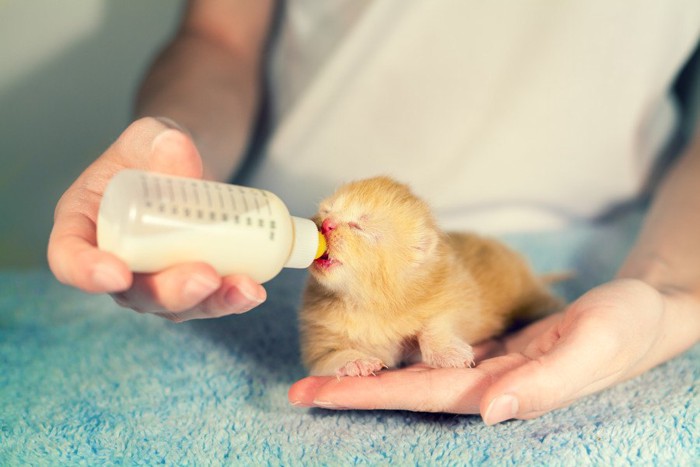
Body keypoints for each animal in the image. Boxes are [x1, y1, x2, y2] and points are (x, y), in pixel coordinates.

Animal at [298, 177, 560, 378]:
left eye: (359, 227)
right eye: (326, 211)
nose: (326, 224)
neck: (367, 301)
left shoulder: (457, 294)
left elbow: (435, 323)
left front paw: (447, 353)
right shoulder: (319, 341)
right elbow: (328, 357)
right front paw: (354, 361)